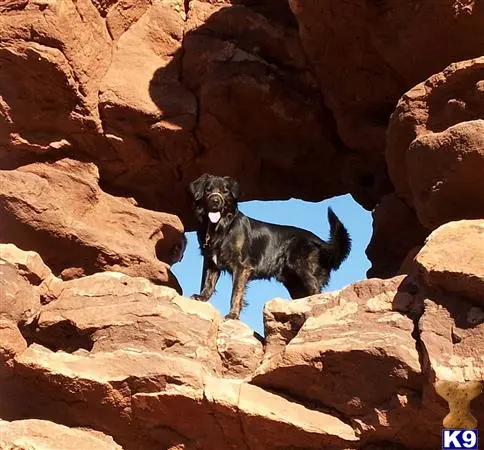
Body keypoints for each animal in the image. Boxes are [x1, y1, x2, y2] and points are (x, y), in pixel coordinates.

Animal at [189, 173, 352, 320]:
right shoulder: (210, 260)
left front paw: (233, 315)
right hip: (293, 282)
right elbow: (207, 282)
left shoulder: (241, 266)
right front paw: (202, 297)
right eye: (208, 190)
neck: (221, 228)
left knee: (316, 290)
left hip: (303, 268)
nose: (215, 201)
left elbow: (236, 293)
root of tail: (319, 241)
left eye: (225, 191)